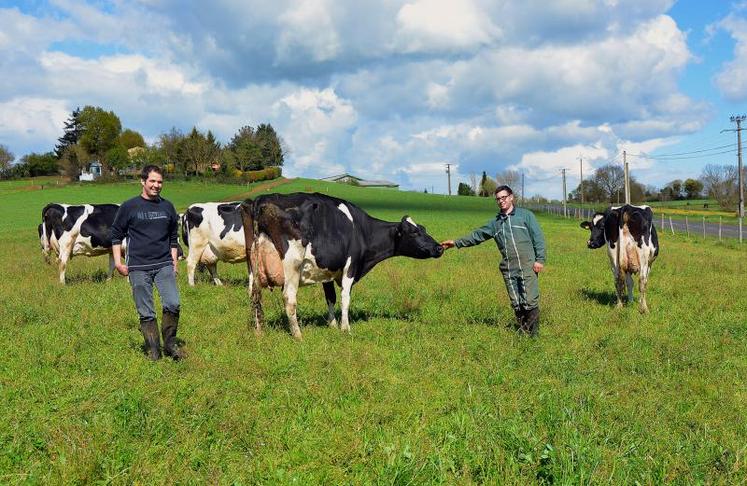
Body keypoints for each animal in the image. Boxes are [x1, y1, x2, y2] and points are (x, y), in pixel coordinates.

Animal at [243, 192, 448, 340]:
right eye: (413, 232)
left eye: (423, 229)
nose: (439, 247)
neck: (362, 230)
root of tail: (261, 200)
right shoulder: (351, 265)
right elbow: (345, 298)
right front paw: (345, 327)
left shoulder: (327, 269)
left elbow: (330, 298)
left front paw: (332, 325)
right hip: (292, 264)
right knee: (289, 298)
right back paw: (298, 335)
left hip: (253, 265)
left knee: (254, 295)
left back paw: (259, 332)